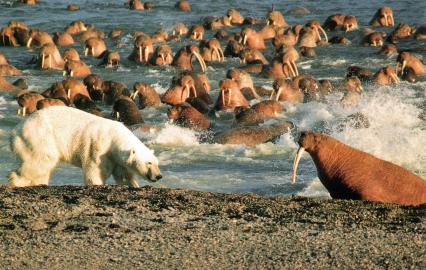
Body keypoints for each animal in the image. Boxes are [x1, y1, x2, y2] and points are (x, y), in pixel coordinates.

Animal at [8, 106, 161, 188]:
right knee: (40, 161)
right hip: (39, 138)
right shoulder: (99, 147)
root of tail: (15, 131)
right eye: (149, 163)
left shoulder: (116, 158)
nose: (159, 176)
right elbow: (95, 171)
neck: (113, 136)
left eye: (156, 163)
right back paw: (16, 182)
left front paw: (134, 184)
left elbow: (123, 175)